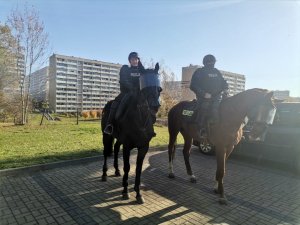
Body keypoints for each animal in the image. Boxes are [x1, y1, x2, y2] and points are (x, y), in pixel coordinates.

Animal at [101, 63, 162, 204]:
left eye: (158, 88)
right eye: (144, 88)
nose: (155, 106)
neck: (140, 119)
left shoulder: (143, 147)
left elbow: (138, 169)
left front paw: (138, 193)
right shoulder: (127, 146)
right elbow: (128, 167)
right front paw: (125, 191)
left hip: (118, 139)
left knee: (115, 148)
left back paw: (116, 170)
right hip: (106, 136)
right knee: (106, 152)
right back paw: (104, 174)